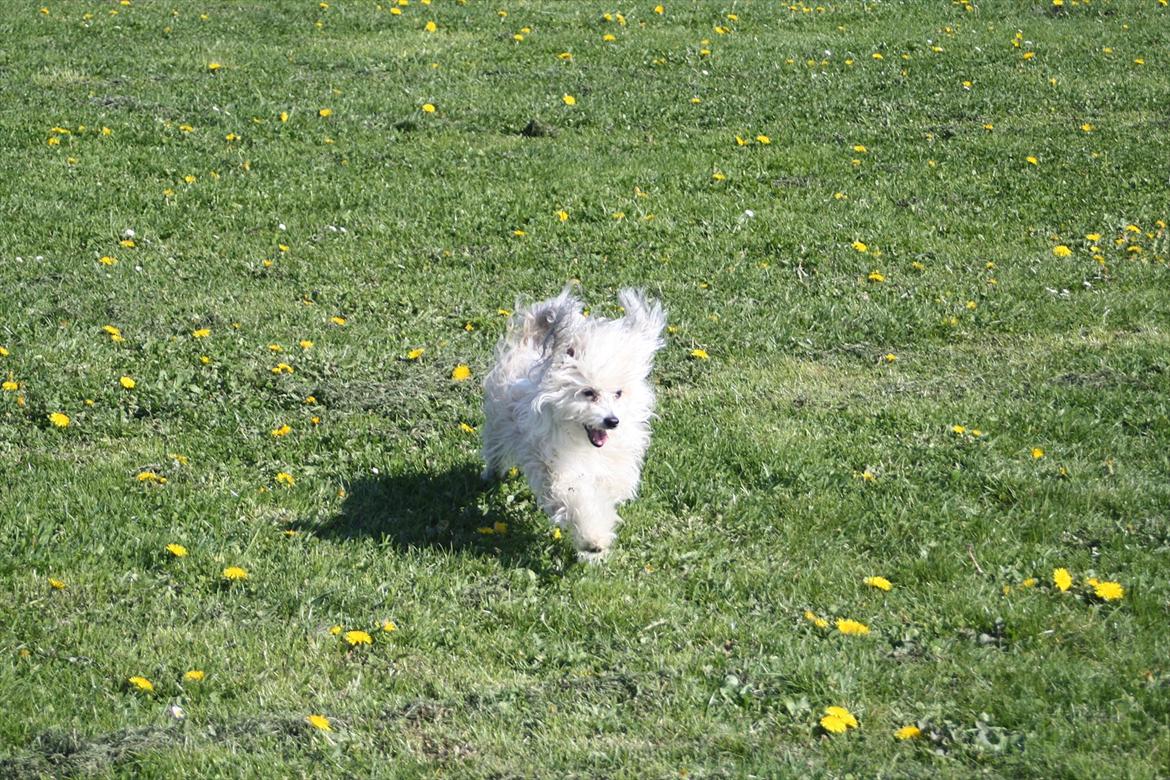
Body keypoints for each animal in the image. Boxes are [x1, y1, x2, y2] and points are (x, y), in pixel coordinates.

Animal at [482, 286, 669, 561]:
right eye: (588, 392)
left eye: (618, 393)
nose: (612, 421)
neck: (584, 444)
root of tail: (529, 342)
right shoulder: (560, 470)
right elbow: (580, 500)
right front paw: (592, 540)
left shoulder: (609, 472)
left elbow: (602, 501)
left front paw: (596, 548)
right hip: (498, 423)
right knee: (495, 449)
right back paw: (492, 475)